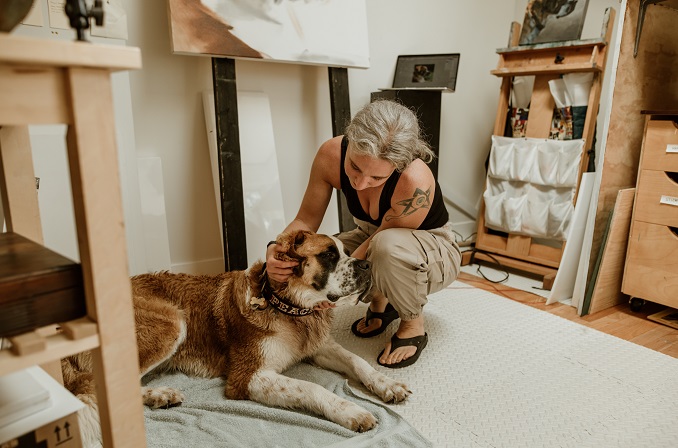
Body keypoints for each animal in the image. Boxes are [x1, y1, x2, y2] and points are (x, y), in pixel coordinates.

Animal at [62, 230, 411, 444]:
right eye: (328, 256)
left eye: (347, 253)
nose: (366, 265)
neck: (286, 305)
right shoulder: (248, 377)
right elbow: (311, 387)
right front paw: (351, 411)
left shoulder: (319, 345)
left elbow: (357, 360)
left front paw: (387, 384)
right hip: (171, 324)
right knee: (94, 386)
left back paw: (160, 395)